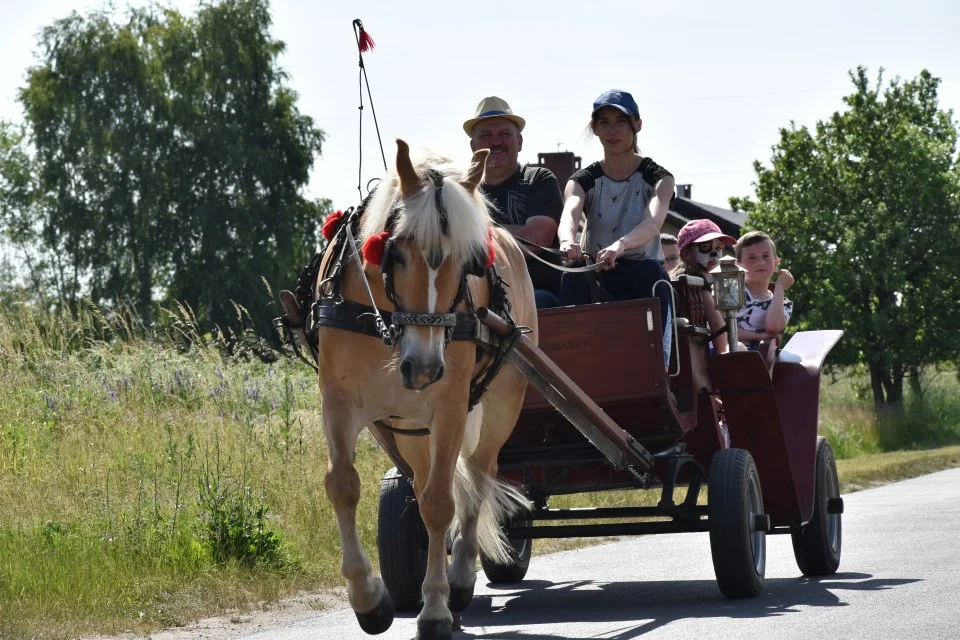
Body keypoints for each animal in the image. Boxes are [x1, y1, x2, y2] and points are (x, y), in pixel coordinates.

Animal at [280, 141, 540, 640]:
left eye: (469, 262)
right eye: (396, 254)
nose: (423, 368)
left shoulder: (451, 408)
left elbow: (440, 504)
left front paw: (435, 608)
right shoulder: (338, 403)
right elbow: (343, 485)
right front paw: (369, 599)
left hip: (498, 410)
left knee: (477, 483)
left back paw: (459, 580)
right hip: (408, 427)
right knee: (424, 484)